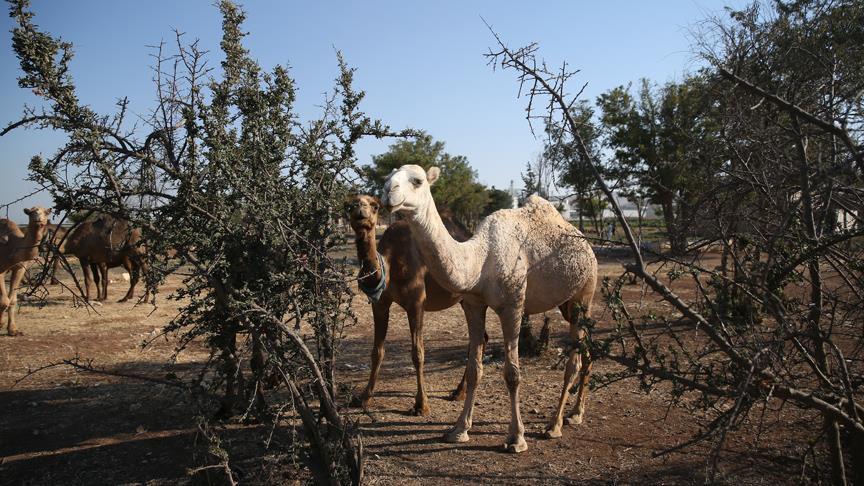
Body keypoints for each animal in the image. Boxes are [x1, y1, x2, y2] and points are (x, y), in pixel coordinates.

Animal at [0, 207, 51, 336]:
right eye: (31, 212)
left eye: (46, 212)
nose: (38, 219)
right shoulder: (0, 269)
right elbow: (4, 301)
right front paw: (0, 324)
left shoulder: (20, 268)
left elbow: (12, 300)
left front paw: (13, 330)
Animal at [344, 196, 482, 416]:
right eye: (350, 205)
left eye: (374, 206)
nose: (360, 208)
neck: (390, 264)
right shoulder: (380, 304)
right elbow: (377, 352)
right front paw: (364, 397)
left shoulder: (416, 302)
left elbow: (418, 353)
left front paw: (421, 405)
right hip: (464, 299)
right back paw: (458, 392)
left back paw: (459, 392)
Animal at [382, 166, 596, 452]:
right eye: (387, 177)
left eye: (417, 181)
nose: (388, 192)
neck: (480, 259)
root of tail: (586, 242)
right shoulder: (473, 303)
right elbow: (475, 369)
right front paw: (459, 430)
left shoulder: (513, 305)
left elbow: (512, 374)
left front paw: (516, 438)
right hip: (567, 305)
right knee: (587, 353)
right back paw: (575, 413)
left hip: (586, 292)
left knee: (574, 359)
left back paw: (555, 425)